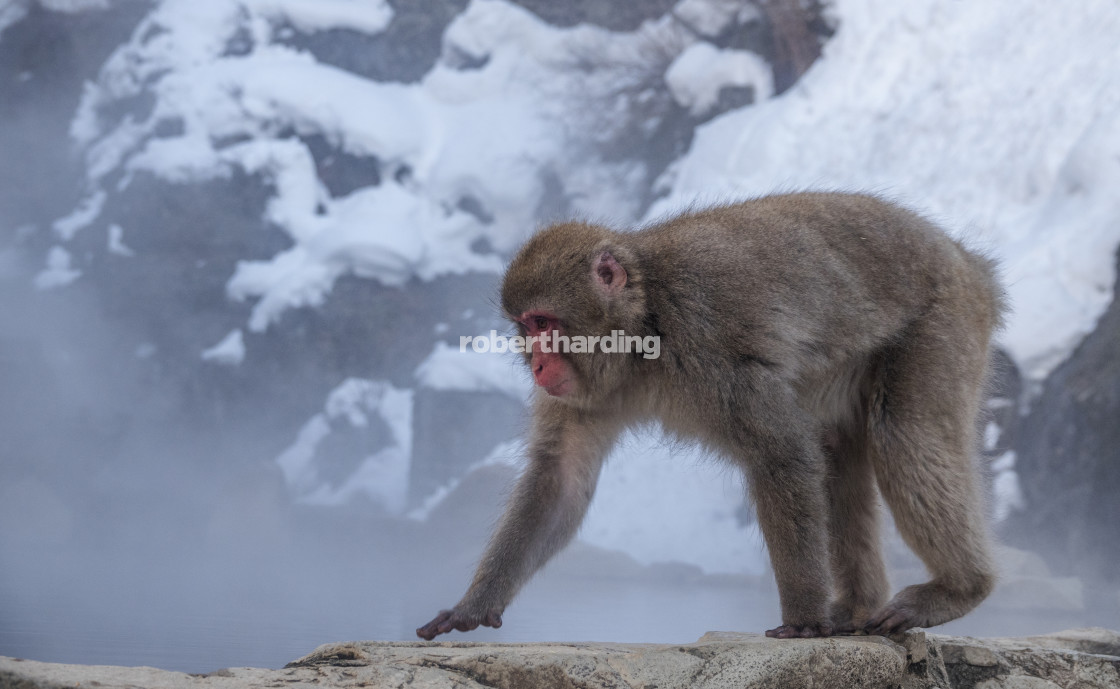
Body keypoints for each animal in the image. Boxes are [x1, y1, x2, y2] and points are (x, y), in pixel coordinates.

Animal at [416, 190, 1003, 640]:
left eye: (545, 323)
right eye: (525, 327)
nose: (537, 364)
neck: (644, 327)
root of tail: (967, 260)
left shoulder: (707, 349)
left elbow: (783, 456)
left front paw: (803, 620)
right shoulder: (584, 393)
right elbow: (559, 480)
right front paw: (472, 607)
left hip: (943, 319)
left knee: (903, 434)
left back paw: (960, 589)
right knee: (838, 454)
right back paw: (859, 606)